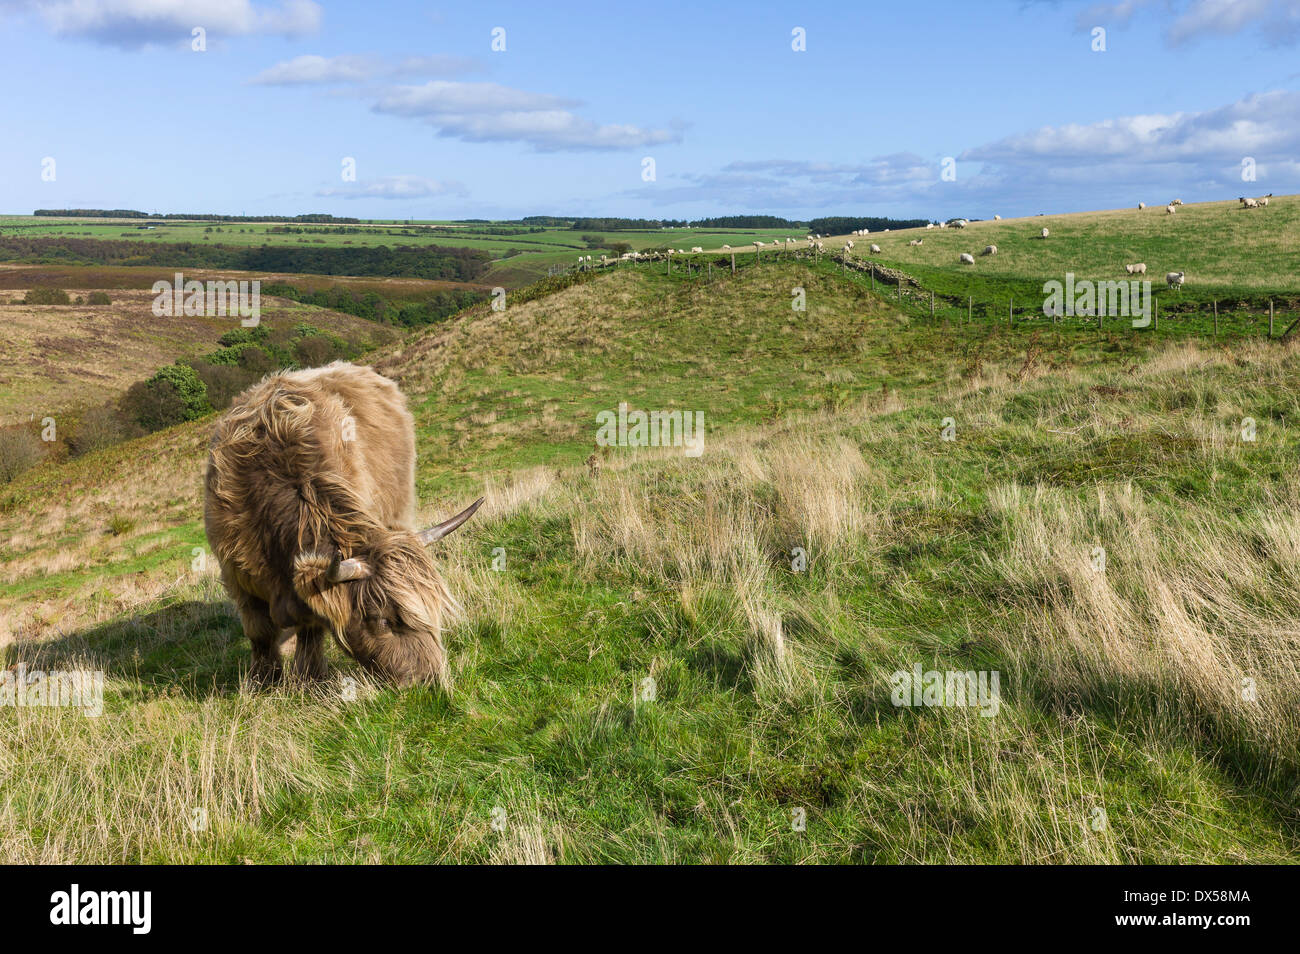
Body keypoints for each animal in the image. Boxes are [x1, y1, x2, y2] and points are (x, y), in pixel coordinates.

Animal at [204, 362, 481, 688]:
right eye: (383, 619)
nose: (431, 679)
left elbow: (310, 628)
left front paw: (308, 679)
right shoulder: (238, 575)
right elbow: (260, 633)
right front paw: (263, 682)